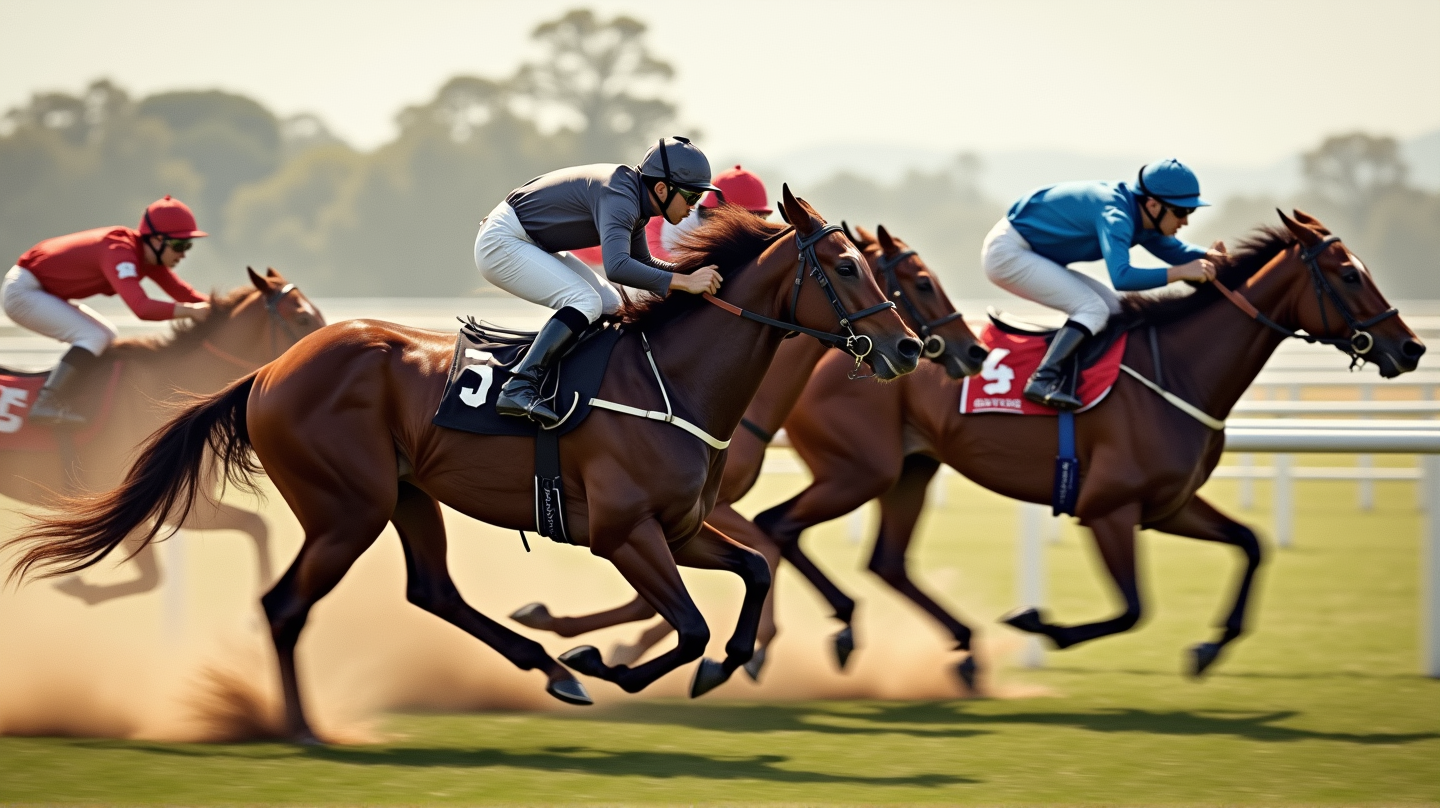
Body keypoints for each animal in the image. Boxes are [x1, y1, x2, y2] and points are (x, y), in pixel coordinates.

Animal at [508, 224, 990, 680]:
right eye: (922, 283)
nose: (973, 349)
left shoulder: (689, 514)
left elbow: (746, 559)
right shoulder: (699, 509)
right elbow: (758, 546)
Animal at [757, 210, 1424, 678]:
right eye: (1348, 274)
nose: (1412, 346)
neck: (1177, 373)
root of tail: (841, 352)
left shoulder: (1170, 505)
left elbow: (1252, 545)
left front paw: (1210, 646)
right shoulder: (1108, 508)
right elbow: (1133, 608)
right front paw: (1039, 623)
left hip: (910, 470)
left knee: (884, 561)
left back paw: (960, 649)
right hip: (859, 470)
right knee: (777, 525)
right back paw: (832, 632)